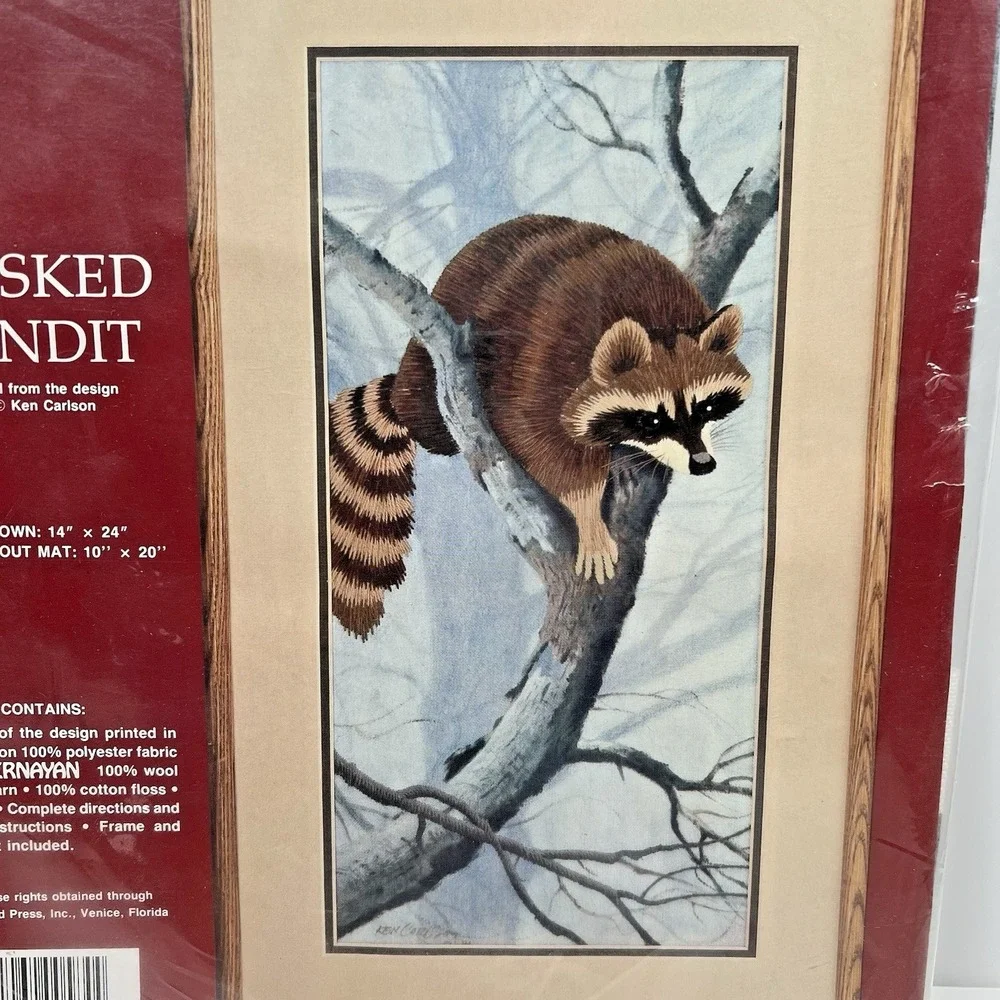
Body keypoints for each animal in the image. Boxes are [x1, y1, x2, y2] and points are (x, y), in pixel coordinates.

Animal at [328, 214, 751, 638]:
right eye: (651, 420)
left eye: (706, 407)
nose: (702, 463)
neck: (655, 324)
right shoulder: (544, 360)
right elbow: (543, 444)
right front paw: (588, 514)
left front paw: (626, 458)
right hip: (432, 381)